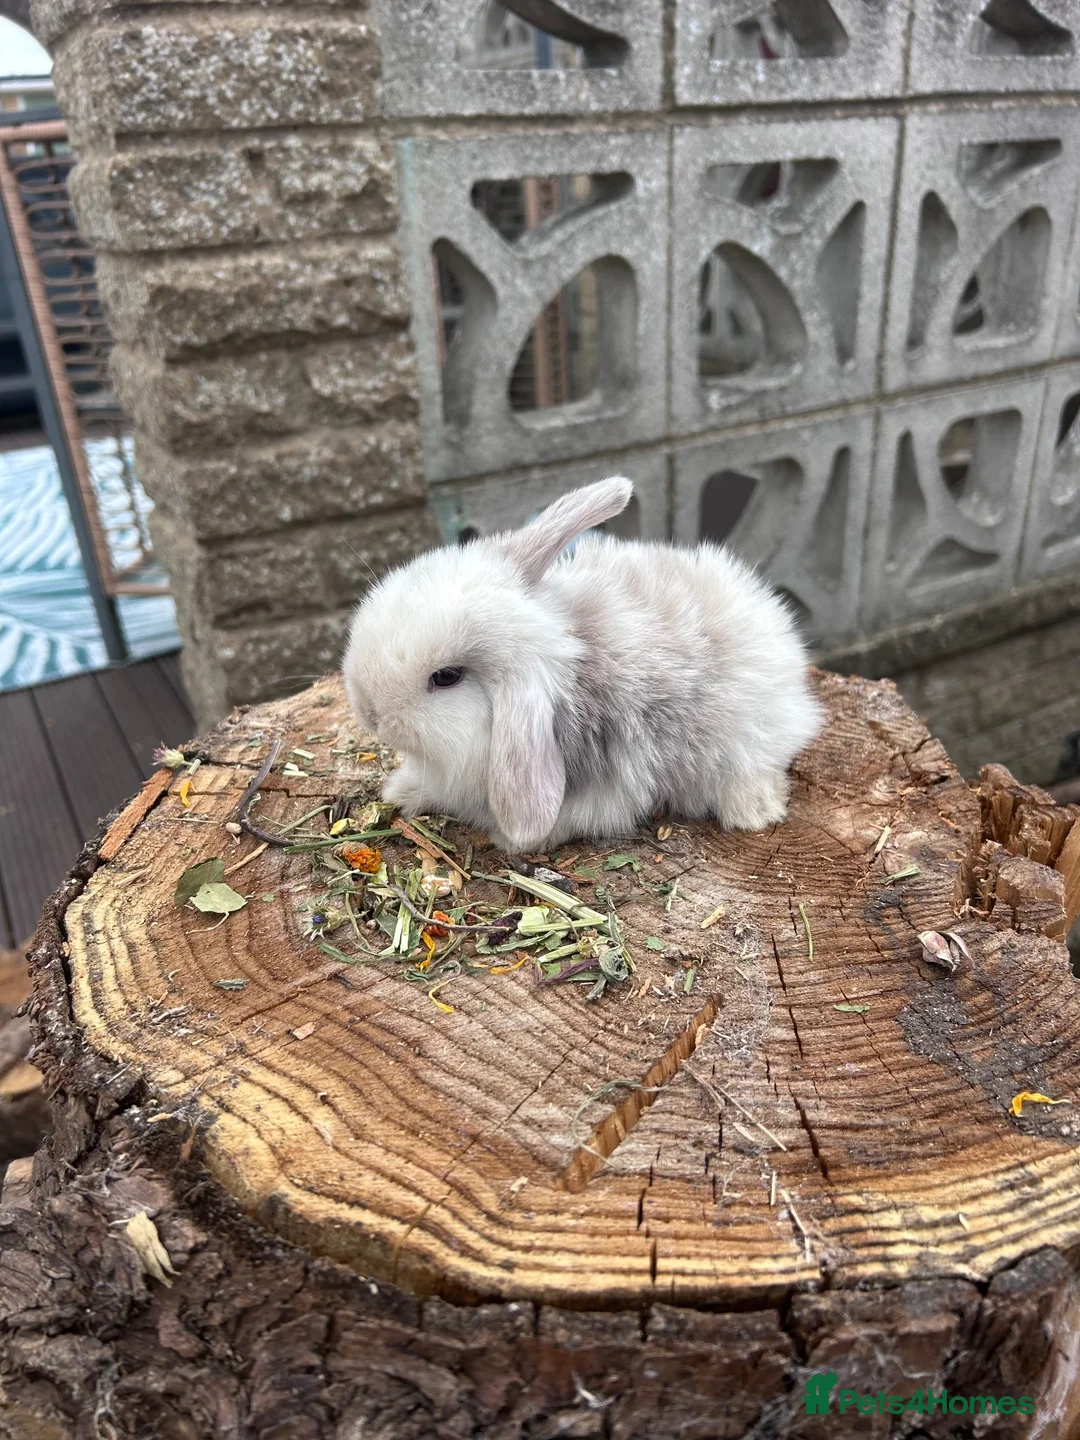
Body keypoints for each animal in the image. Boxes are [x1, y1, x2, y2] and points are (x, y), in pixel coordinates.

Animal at [342, 476, 824, 855]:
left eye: (446, 677)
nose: (369, 714)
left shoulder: (611, 790)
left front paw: (513, 840)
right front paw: (400, 792)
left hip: (753, 735)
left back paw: (754, 811)